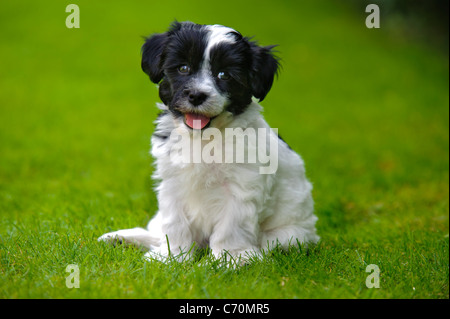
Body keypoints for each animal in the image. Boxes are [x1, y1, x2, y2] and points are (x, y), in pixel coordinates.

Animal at [99, 21, 320, 264]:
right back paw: (123, 238)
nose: (196, 95)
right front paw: (172, 257)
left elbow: (231, 226)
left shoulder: (241, 187)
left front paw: (229, 260)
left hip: (289, 236)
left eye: (224, 75)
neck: (205, 138)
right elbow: (174, 222)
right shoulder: (173, 183)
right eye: (183, 68)